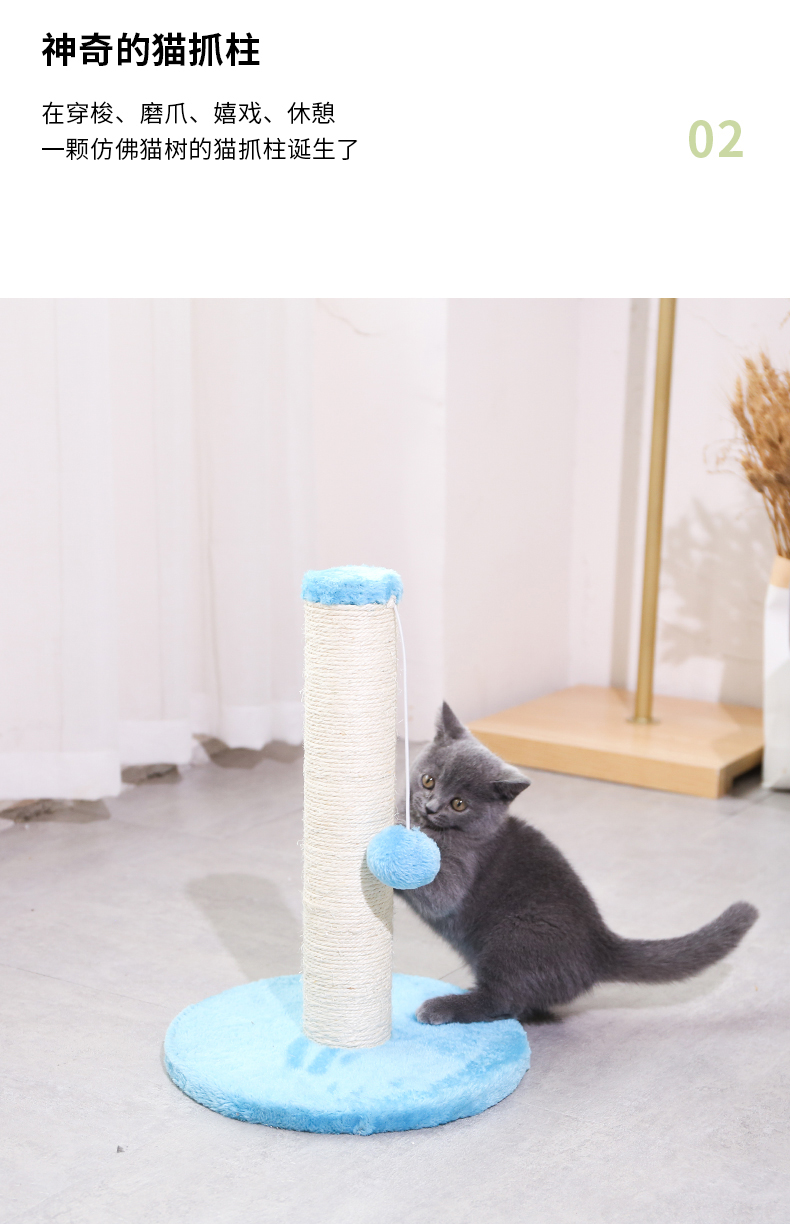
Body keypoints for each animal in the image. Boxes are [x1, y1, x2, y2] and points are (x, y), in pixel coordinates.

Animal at [397, 702, 758, 1026]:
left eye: (459, 804)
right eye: (428, 781)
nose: (430, 808)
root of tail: (601, 945)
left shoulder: (465, 868)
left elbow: (439, 892)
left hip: (515, 937)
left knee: (501, 1000)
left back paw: (441, 1007)